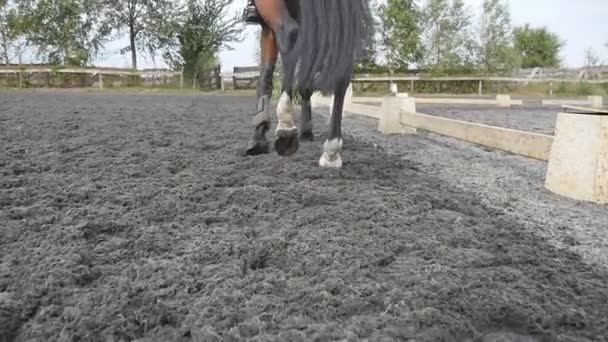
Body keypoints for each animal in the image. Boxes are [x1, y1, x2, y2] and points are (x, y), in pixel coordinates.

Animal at [241, 0, 370, 167]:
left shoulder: (267, 26)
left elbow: (265, 76)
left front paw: (258, 140)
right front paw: (306, 132)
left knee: (289, 34)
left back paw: (285, 126)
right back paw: (331, 150)